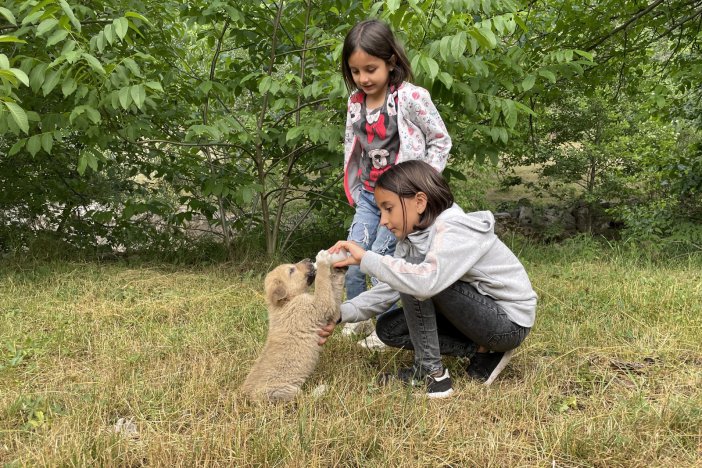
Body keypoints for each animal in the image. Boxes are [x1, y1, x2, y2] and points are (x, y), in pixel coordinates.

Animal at [241, 252, 346, 402]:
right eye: (291, 270)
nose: (309, 259)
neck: (287, 302)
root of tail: (245, 396)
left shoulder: (333, 311)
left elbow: (334, 288)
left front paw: (338, 269)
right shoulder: (320, 305)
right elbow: (322, 283)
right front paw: (322, 260)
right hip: (282, 391)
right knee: (305, 398)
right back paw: (321, 389)